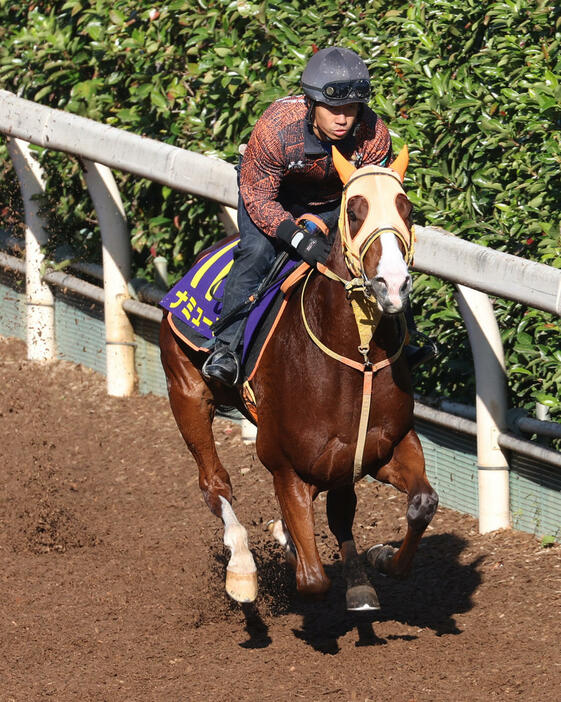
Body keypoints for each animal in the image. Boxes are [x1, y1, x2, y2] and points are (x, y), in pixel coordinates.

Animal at [158, 146, 438, 612]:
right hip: (187, 392)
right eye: (354, 211)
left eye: (407, 208)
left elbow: (422, 505)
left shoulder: (387, 447)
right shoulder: (285, 465)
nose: (393, 284)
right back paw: (242, 569)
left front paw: (379, 558)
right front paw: (290, 553)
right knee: (214, 483)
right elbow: (312, 581)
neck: (357, 359)